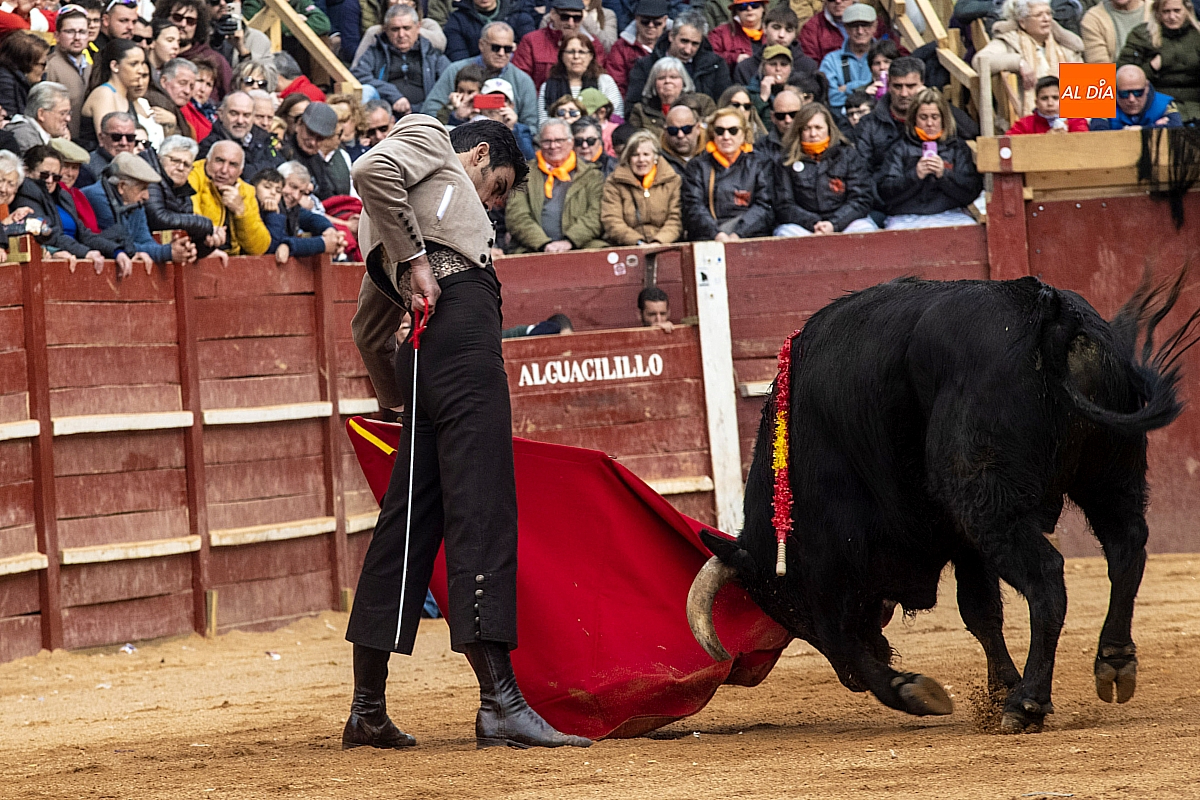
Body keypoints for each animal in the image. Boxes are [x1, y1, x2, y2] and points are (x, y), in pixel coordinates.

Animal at [687, 274, 1199, 733]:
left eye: (786, 606)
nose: (851, 684)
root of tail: (1048, 313)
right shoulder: (961, 541)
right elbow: (980, 612)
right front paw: (998, 686)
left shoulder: (829, 563)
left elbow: (843, 634)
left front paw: (913, 690)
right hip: (1110, 476)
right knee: (1126, 548)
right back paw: (1113, 662)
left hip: (989, 504)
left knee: (1048, 578)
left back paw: (1028, 703)